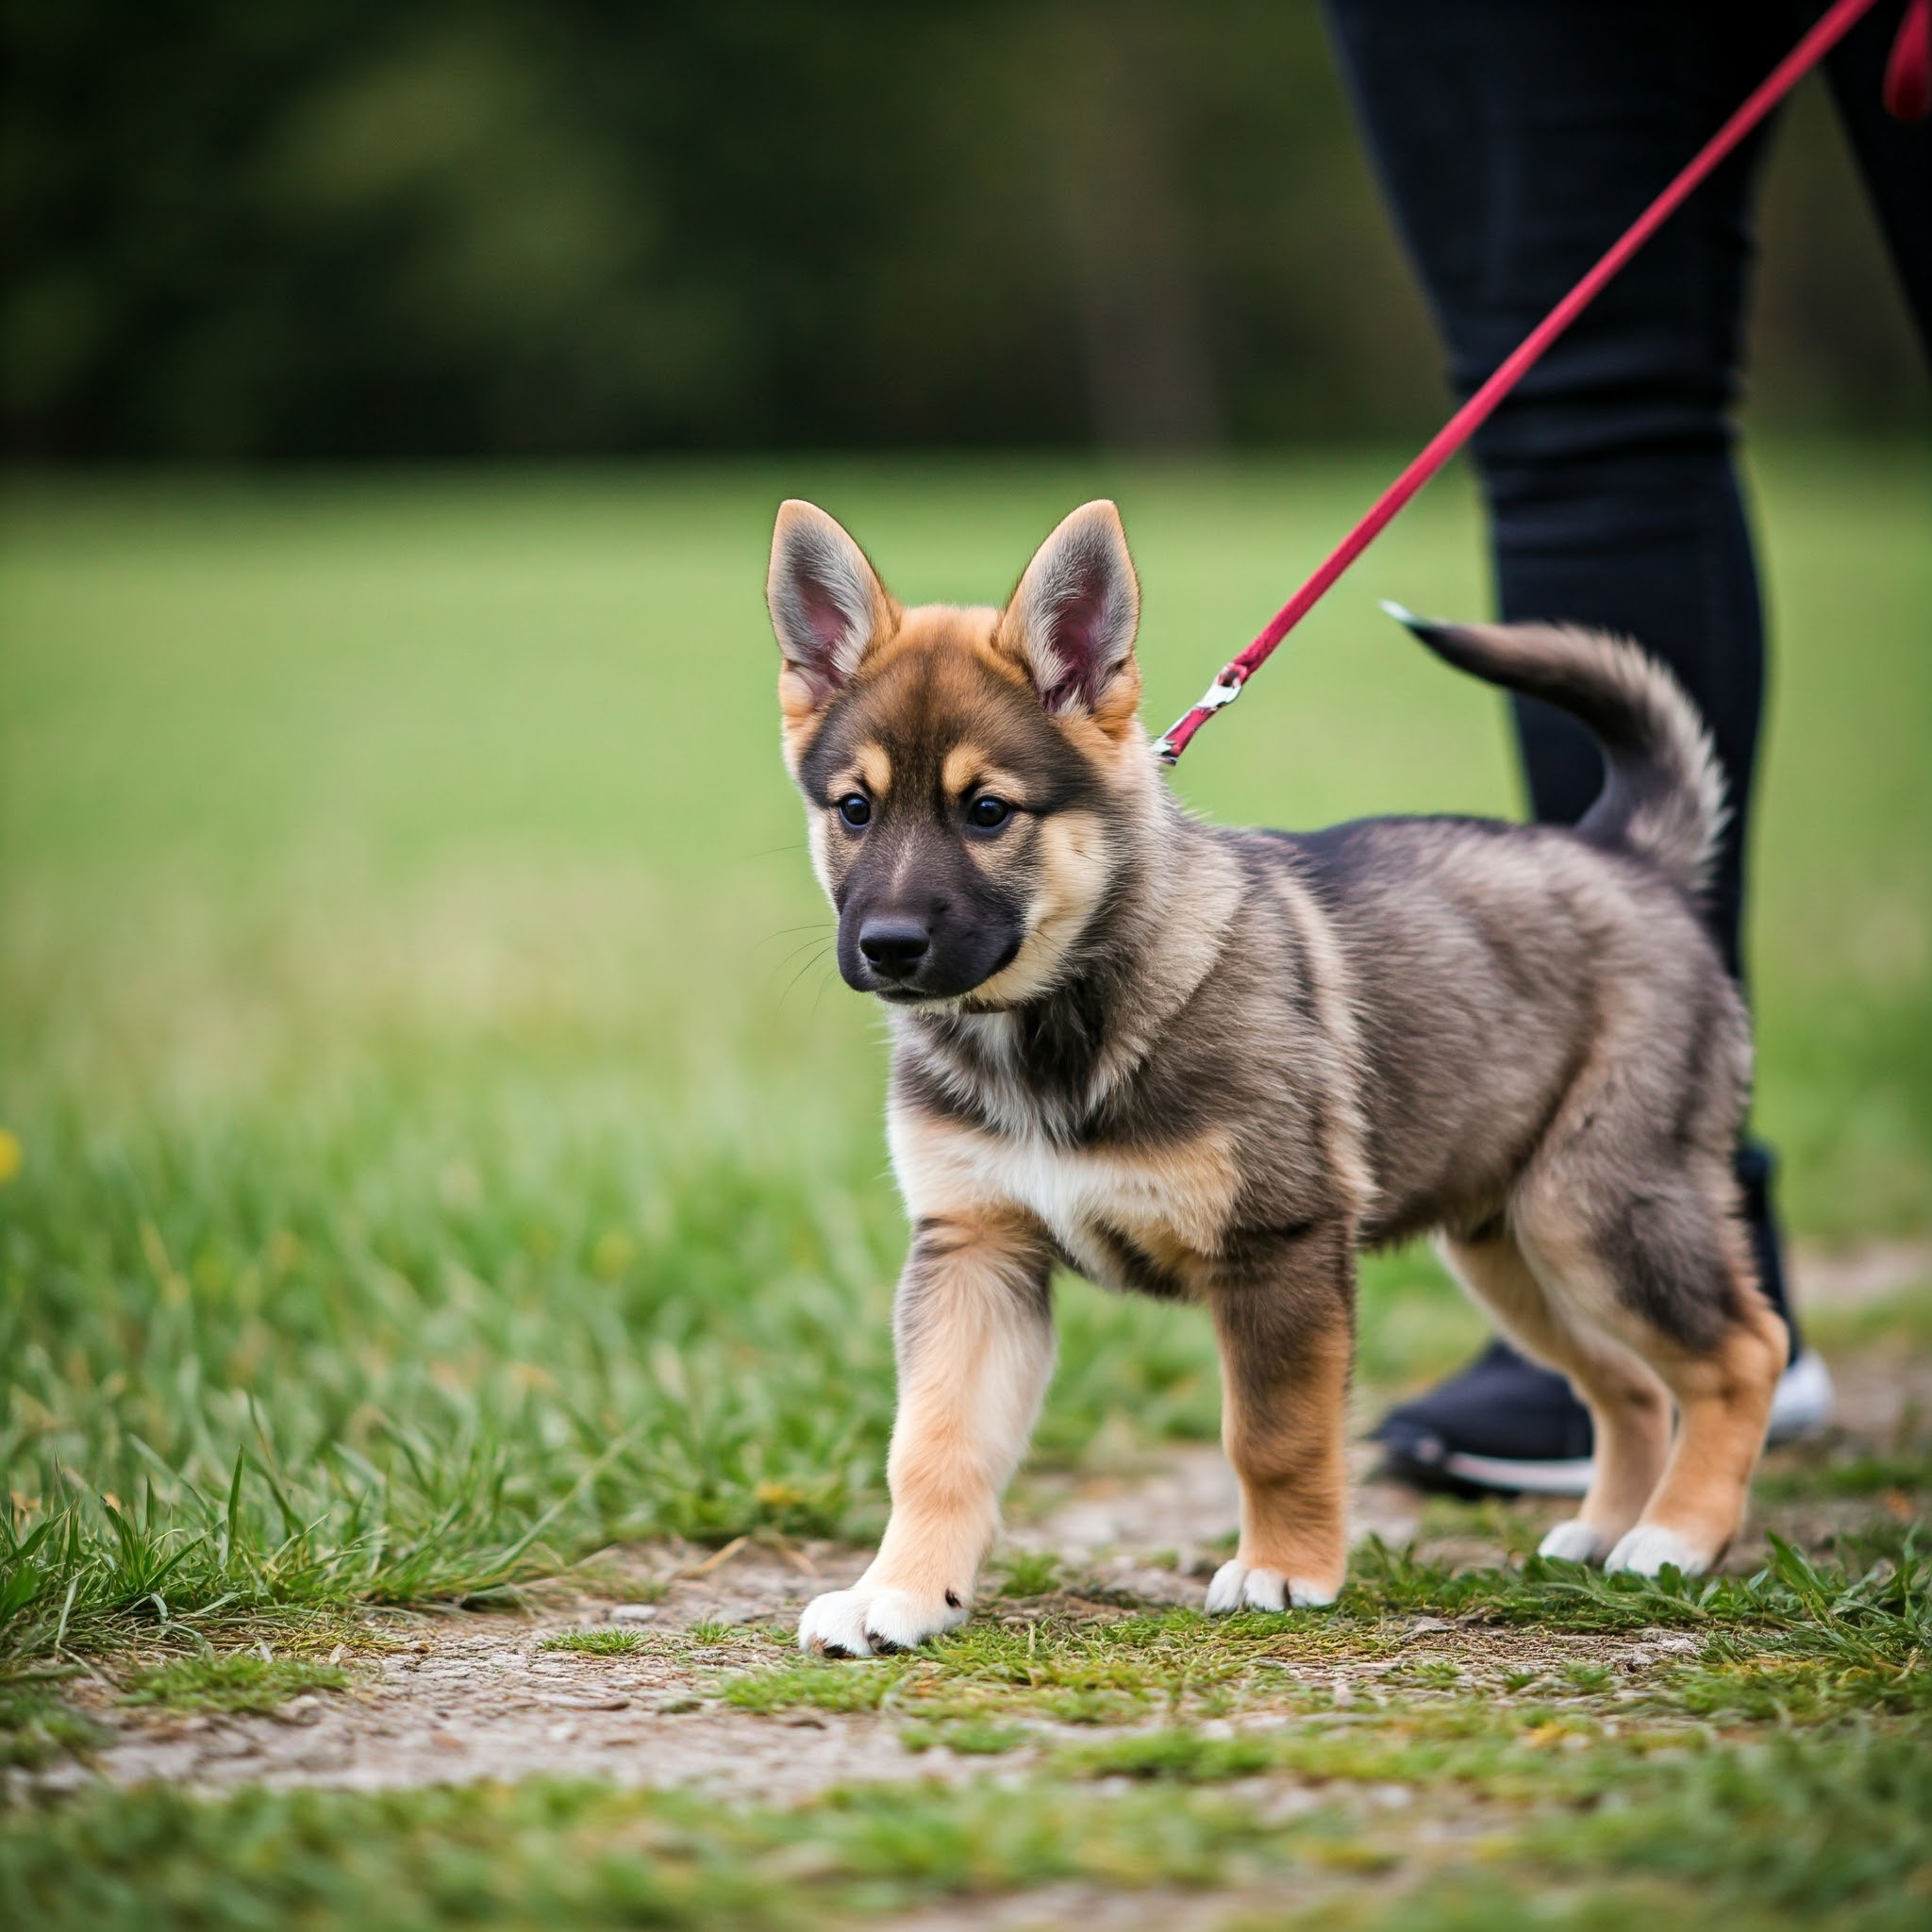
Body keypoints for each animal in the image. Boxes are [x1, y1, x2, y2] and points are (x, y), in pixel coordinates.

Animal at [760, 491, 1785, 1654]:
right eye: (854, 808)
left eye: (987, 812)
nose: (886, 947)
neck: (1054, 1023)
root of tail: (1629, 856)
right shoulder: (975, 1248)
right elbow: (934, 1444)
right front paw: (898, 1594)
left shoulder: (1279, 1242)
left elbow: (1275, 1432)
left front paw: (1284, 1571)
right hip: (1507, 1238)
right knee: (1626, 1382)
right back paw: (1603, 1530)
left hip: (1599, 1206)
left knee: (1742, 1350)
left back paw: (1676, 1538)